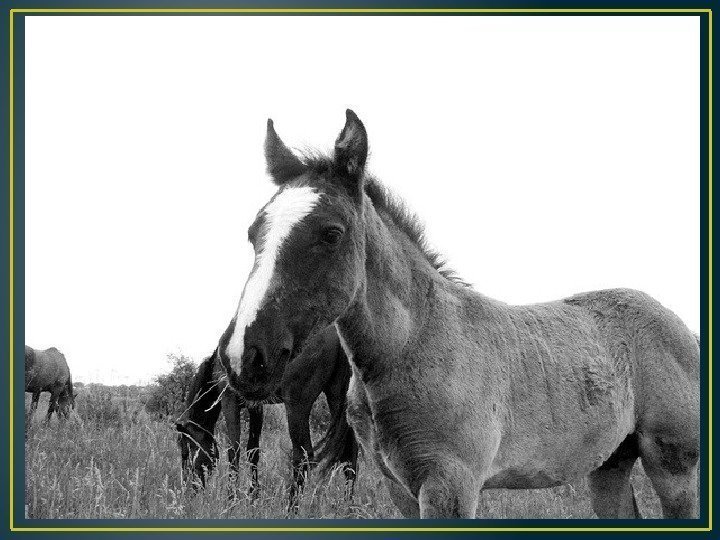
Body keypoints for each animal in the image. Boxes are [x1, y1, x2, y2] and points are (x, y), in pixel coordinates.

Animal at [177, 325, 358, 508]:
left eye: (186, 449)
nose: (187, 490)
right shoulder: (255, 407)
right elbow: (252, 450)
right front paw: (253, 496)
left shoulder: (229, 399)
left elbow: (233, 449)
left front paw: (232, 500)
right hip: (337, 400)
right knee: (350, 455)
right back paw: (348, 507)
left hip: (298, 405)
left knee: (303, 455)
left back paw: (292, 507)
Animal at [216, 110, 700, 519]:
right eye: (253, 233)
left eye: (331, 234)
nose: (245, 356)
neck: (414, 344)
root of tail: (678, 324)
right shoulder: (401, 489)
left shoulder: (452, 485)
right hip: (610, 462)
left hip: (673, 465)